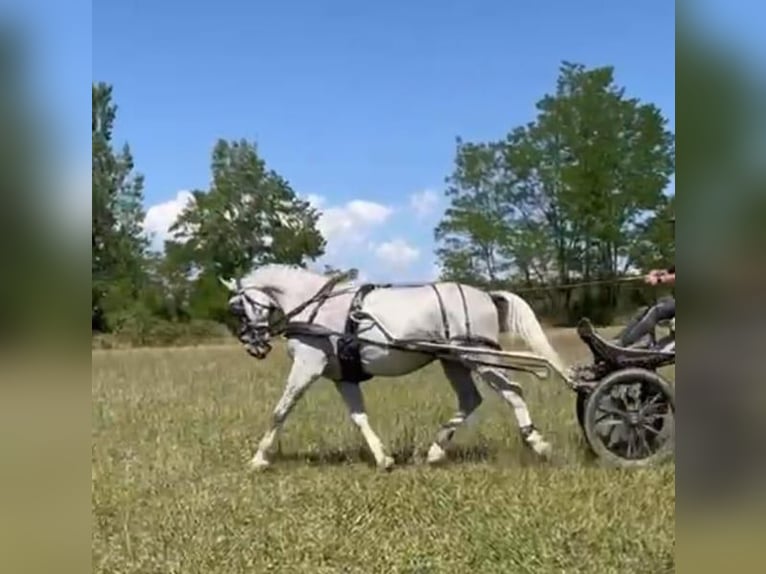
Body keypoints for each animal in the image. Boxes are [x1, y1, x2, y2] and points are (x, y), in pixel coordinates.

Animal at [220, 264, 569, 471]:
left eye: (239, 307)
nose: (253, 344)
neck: (316, 308)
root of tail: (486, 294)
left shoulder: (308, 366)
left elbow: (281, 410)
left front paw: (259, 458)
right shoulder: (343, 377)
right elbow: (359, 418)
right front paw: (383, 458)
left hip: (479, 357)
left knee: (513, 392)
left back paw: (538, 443)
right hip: (454, 361)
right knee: (471, 400)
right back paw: (436, 450)